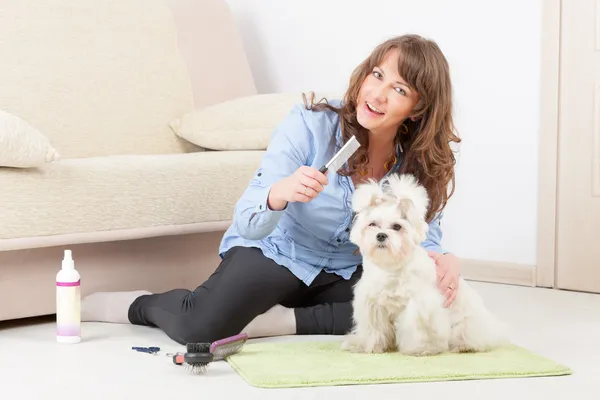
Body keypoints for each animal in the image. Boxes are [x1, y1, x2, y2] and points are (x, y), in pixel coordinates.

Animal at [342, 173, 506, 354]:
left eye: (397, 226)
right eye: (372, 224)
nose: (381, 235)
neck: (391, 268)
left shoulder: (420, 305)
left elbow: (418, 330)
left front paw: (422, 348)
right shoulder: (373, 304)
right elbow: (373, 329)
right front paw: (366, 345)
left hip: (466, 323)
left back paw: (463, 346)